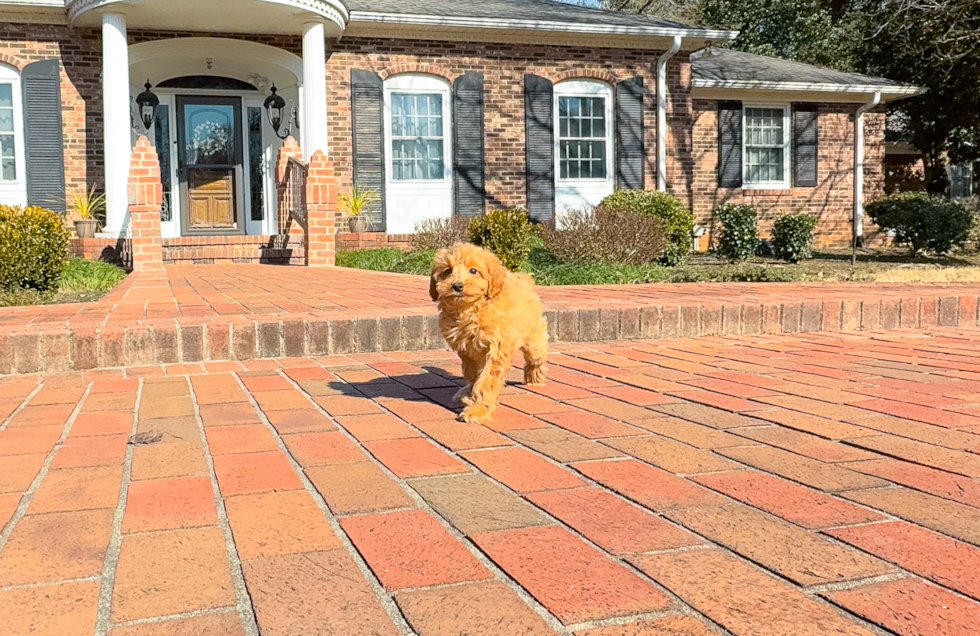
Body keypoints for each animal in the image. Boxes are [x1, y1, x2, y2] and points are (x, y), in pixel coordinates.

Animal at [430, 242, 552, 422]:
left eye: (473, 270)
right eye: (447, 271)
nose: (457, 286)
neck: (472, 309)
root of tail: (522, 279)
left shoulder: (496, 349)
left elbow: (486, 380)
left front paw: (477, 410)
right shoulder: (467, 351)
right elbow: (473, 375)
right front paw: (471, 396)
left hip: (533, 338)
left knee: (536, 358)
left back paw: (534, 379)